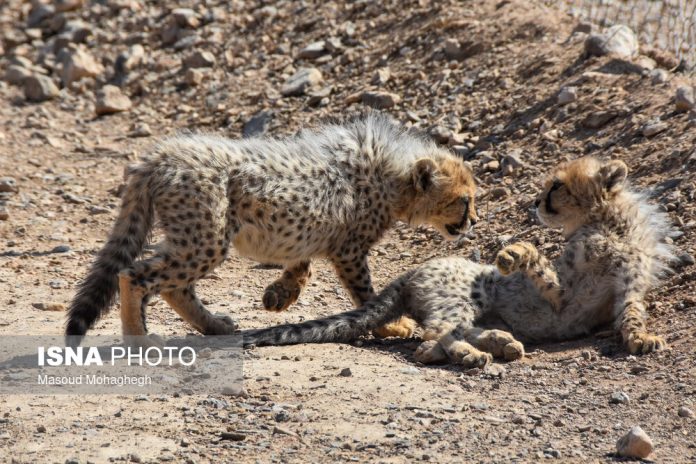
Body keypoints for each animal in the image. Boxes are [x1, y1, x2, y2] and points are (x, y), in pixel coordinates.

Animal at [65, 112, 479, 346]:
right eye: (465, 199)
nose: (474, 221)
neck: (394, 174)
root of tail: (160, 155)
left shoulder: (316, 231)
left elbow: (302, 263)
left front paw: (280, 294)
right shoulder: (349, 249)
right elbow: (365, 293)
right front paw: (391, 327)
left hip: (194, 237)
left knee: (172, 285)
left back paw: (215, 326)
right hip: (206, 238)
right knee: (135, 275)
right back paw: (137, 339)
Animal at [242, 157, 676, 367]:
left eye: (557, 186)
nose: (536, 203)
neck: (607, 223)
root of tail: (411, 271)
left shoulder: (627, 290)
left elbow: (632, 315)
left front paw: (643, 339)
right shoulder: (561, 294)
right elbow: (537, 260)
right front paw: (513, 252)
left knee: (450, 330)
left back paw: (497, 343)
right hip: (468, 293)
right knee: (441, 329)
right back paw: (469, 354)